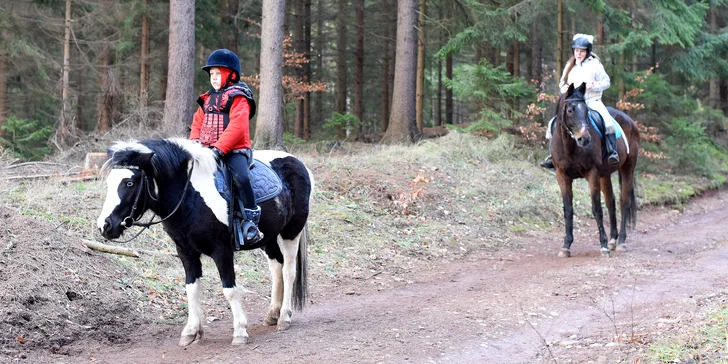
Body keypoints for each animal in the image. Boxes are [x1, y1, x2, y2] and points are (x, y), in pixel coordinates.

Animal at [96, 138, 312, 346]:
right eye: (110, 182)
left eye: (129, 183)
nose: (105, 225)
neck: (189, 197)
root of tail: (298, 163)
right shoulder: (185, 251)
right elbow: (191, 288)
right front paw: (191, 331)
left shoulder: (222, 250)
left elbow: (230, 290)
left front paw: (240, 331)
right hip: (268, 237)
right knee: (276, 268)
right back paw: (272, 314)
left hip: (292, 231)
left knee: (288, 271)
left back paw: (284, 317)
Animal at [556, 83, 640, 258]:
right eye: (570, 110)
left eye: (586, 111)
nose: (584, 139)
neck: (569, 146)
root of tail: (630, 121)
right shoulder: (562, 176)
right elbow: (568, 210)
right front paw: (566, 245)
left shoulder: (592, 174)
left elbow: (596, 209)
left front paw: (603, 245)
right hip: (605, 175)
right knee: (611, 202)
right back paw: (613, 240)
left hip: (627, 168)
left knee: (624, 201)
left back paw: (621, 242)